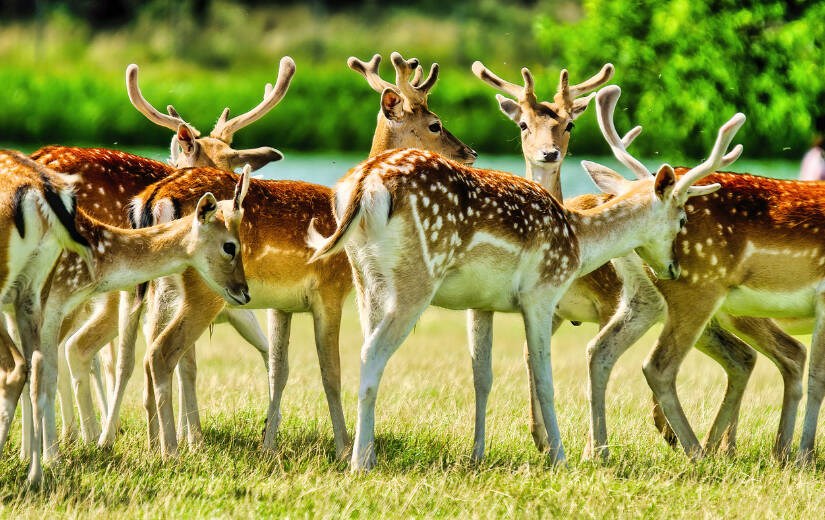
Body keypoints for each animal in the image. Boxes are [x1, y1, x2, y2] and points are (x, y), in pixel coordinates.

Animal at [306, 86, 744, 472]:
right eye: (683, 219)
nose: (674, 268)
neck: (578, 240)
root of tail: (365, 183)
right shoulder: (541, 292)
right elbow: (545, 378)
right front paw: (560, 458)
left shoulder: (483, 302)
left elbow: (486, 374)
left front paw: (481, 456)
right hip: (416, 278)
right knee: (370, 354)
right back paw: (361, 463)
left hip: (367, 278)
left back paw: (364, 454)